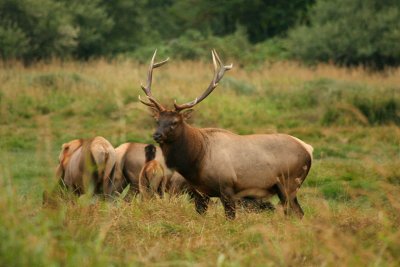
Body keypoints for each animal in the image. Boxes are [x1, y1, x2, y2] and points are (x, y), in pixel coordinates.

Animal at [139, 49, 314, 220]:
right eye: (157, 120)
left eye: (175, 122)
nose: (157, 135)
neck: (197, 160)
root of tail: (308, 149)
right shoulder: (199, 192)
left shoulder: (227, 187)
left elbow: (230, 218)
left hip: (290, 183)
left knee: (297, 213)